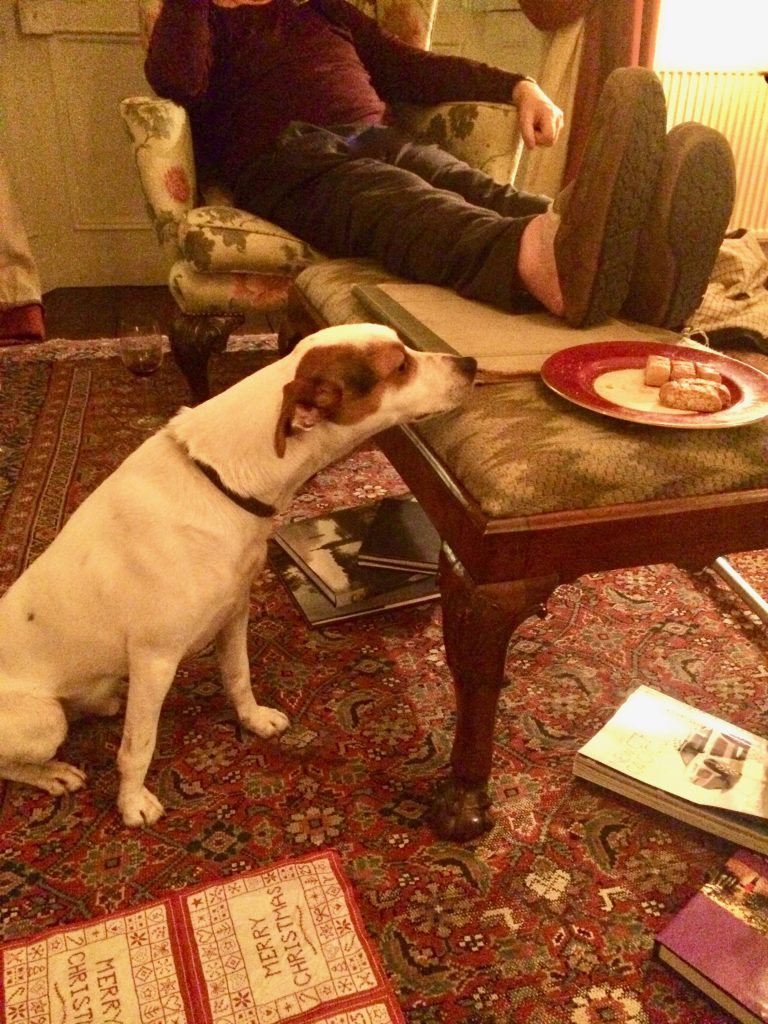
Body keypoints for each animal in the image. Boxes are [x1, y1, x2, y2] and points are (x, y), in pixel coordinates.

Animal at [0, 323, 475, 827]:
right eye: (400, 366)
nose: (471, 364)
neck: (222, 484)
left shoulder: (233, 614)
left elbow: (238, 678)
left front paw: (254, 720)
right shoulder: (155, 658)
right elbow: (137, 747)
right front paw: (131, 804)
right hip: (44, 721)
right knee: (13, 761)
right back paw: (53, 774)